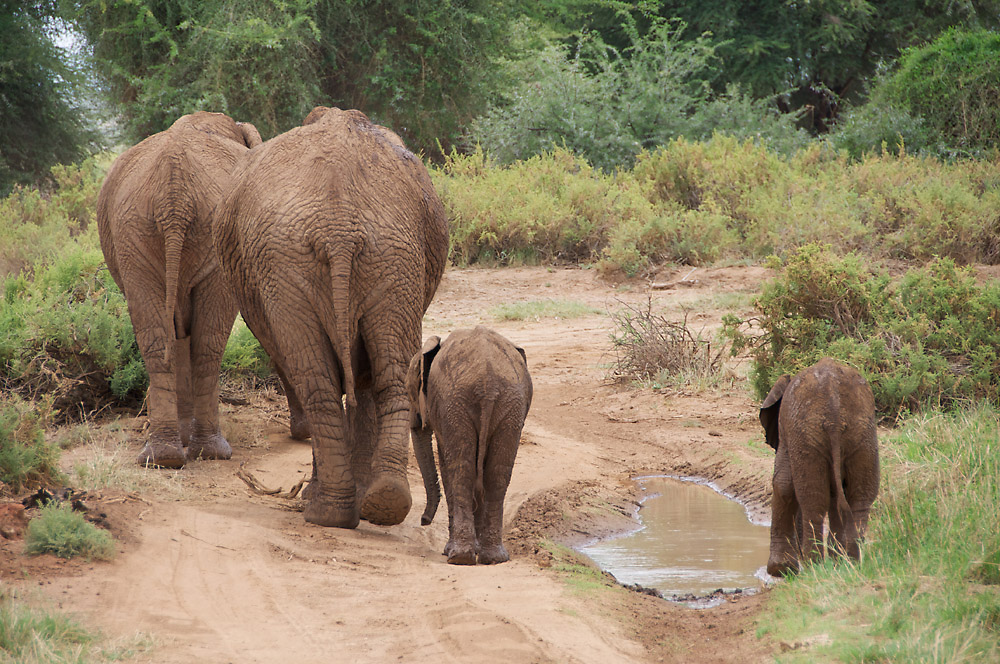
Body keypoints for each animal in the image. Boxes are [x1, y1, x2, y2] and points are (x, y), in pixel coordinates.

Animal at [96, 111, 262, 470]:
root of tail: (174, 193)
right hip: (159, 230)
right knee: (206, 341)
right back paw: (205, 452)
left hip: (136, 231)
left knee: (163, 340)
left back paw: (165, 458)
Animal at [216, 105, 450, 528]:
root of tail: (339, 228)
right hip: (386, 255)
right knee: (388, 373)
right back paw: (382, 504)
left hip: (308, 260)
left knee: (319, 382)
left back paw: (326, 511)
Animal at [404, 326, 532, 564]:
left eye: (411, 394)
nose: (423, 520)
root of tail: (488, 381)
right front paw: (477, 550)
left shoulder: (442, 410)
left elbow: (446, 464)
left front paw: (451, 550)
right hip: (510, 404)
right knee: (496, 473)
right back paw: (493, 558)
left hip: (456, 402)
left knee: (461, 469)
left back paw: (459, 557)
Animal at [760, 358, 880, 576]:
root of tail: (835, 414)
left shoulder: (786, 429)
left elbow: (783, 483)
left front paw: (780, 570)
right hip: (862, 433)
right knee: (860, 498)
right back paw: (850, 562)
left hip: (808, 435)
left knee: (813, 502)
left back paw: (813, 566)